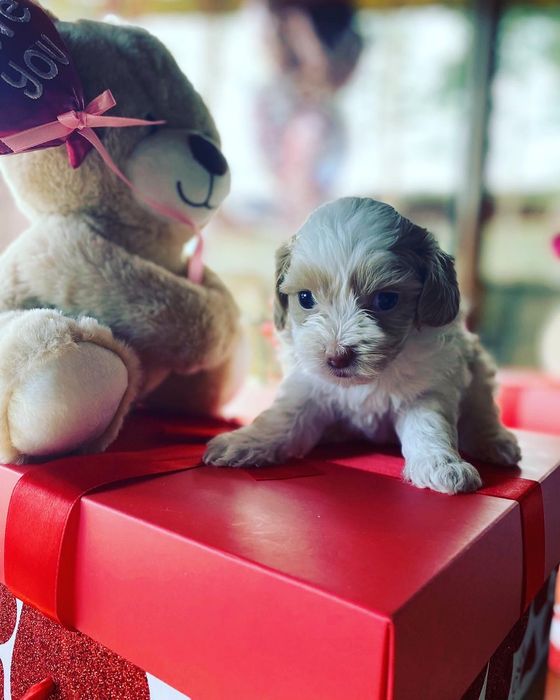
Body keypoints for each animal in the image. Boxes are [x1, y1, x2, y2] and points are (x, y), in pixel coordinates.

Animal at [205, 197, 520, 492]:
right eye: (305, 298)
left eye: (386, 300)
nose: (337, 356)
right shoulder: (306, 386)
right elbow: (284, 416)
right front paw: (245, 441)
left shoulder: (427, 388)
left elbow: (429, 425)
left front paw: (440, 464)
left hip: (478, 369)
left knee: (482, 410)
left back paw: (495, 441)